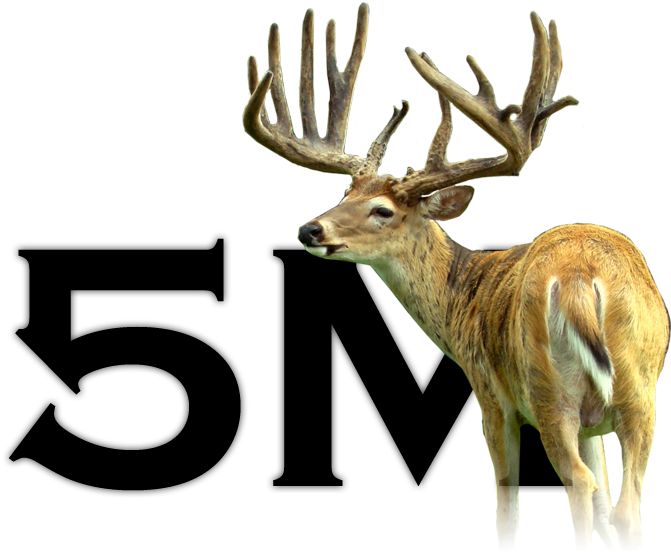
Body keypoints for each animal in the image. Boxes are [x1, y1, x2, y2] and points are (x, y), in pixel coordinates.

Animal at [242, 3, 669, 550]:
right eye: (345, 195)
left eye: (382, 211)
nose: (309, 229)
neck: (466, 292)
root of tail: (579, 275)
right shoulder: (594, 423)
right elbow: (604, 512)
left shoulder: (489, 391)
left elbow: (508, 512)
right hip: (638, 386)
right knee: (623, 508)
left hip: (546, 389)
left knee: (578, 485)